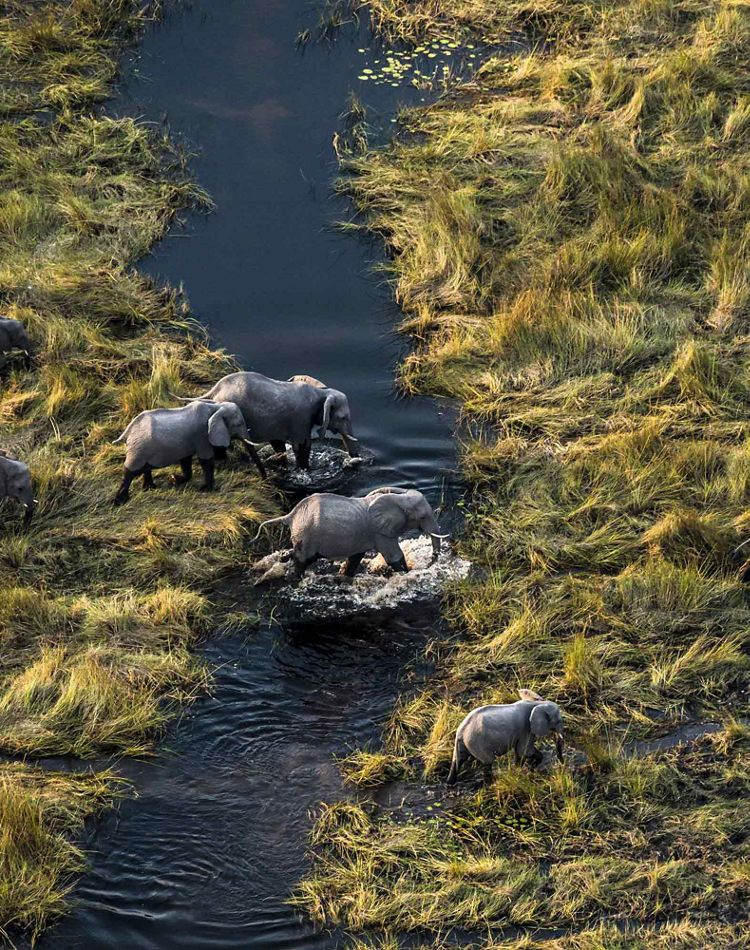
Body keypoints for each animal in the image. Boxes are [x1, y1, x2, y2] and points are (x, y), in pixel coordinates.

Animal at [112, 400, 265, 505]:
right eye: (239, 424)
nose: (264, 480)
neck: (216, 407)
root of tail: (128, 430)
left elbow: (186, 460)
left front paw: (175, 479)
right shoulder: (202, 435)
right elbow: (206, 460)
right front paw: (206, 490)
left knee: (145, 468)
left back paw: (150, 488)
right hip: (138, 449)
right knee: (130, 471)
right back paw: (120, 502)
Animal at [188, 371, 358, 469]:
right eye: (343, 418)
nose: (355, 460)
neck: (321, 393)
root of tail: (215, 389)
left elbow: (278, 444)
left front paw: (284, 465)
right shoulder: (301, 420)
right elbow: (302, 446)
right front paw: (303, 471)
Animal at [253, 486, 448, 577]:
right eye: (422, 517)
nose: (429, 564)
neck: (399, 499)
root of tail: (291, 514)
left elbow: (355, 557)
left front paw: (344, 576)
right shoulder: (381, 533)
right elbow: (394, 557)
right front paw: (406, 575)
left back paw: (283, 558)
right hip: (307, 533)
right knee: (304, 559)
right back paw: (295, 577)